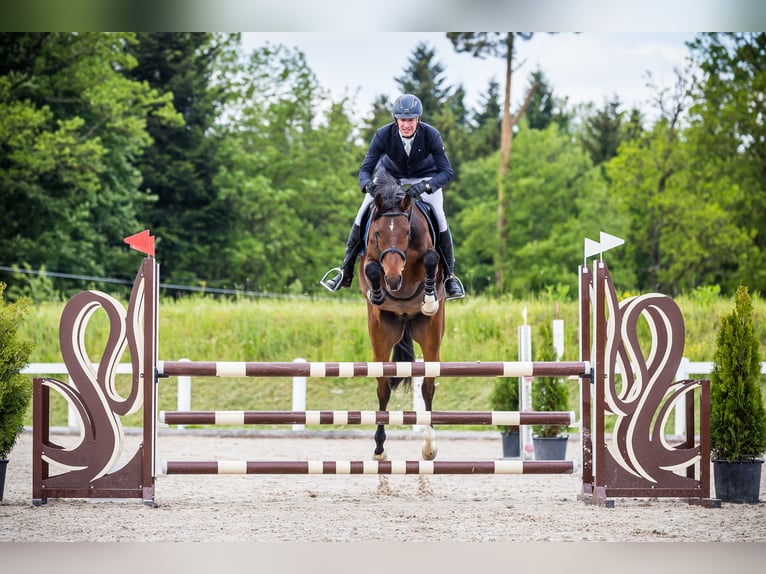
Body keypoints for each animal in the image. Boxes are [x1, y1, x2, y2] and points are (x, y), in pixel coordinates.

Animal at [360, 169, 450, 466]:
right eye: (377, 233)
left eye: (407, 232)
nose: (393, 278)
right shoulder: (369, 259)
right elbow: (371, 269)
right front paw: (378, 292)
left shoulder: (427, 254)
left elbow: (432, 257)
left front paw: (429, 298)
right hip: (381, 336)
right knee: (383, 388)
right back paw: (379, 448)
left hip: (430, 336)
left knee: (428, 388)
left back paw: (429, 446)